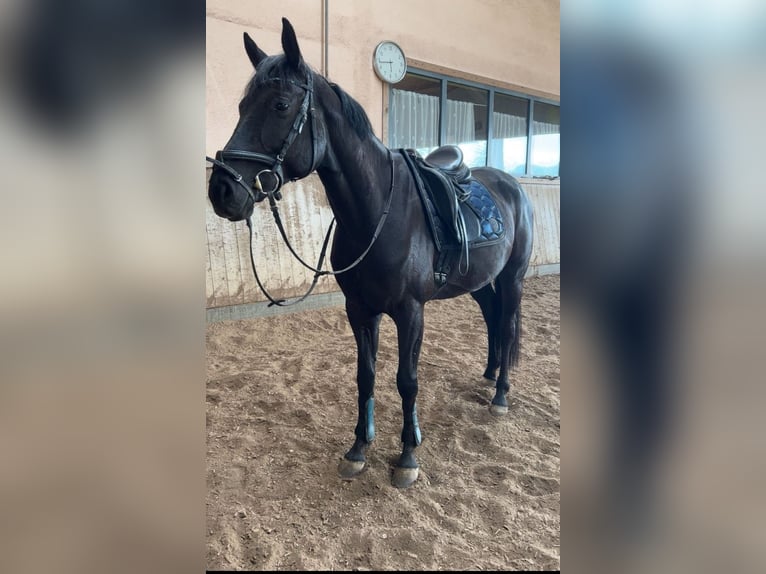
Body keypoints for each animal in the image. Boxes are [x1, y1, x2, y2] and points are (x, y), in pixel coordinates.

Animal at [207, 18, 534, 488]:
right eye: (240, 106)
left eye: (281, 105)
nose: (222, 190)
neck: (377, 211)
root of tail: (511, 185)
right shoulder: (360, 309)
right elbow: (366, 375)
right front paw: (359, 447)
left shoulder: (411, 311)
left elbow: (407, 380)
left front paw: (408, 455)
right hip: (480, 281)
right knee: (492, 319)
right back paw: (489, 376)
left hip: (512, 278)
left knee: (506, 327)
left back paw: (501, 394)